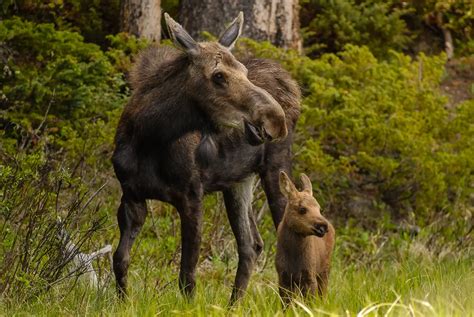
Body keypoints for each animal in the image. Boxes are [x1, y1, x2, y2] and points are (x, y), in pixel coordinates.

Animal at [112, 12, 300, 302]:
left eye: (244, 71)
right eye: (218, 75)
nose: (275, 119)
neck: (147, 139)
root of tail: (293, 88)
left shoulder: (191, 196)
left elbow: (187, 275)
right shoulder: (132, 196)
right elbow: (120, 259)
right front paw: (124, 302)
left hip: (275, 168)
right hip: (238, 182)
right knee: (251, 245)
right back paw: (233, 305)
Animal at [276, 172, 336, 302]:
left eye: (319, 209)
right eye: (302, 209)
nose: (323, 226)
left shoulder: (310, 275)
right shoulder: (283, 276)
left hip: (325, 269)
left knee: (323, 294)